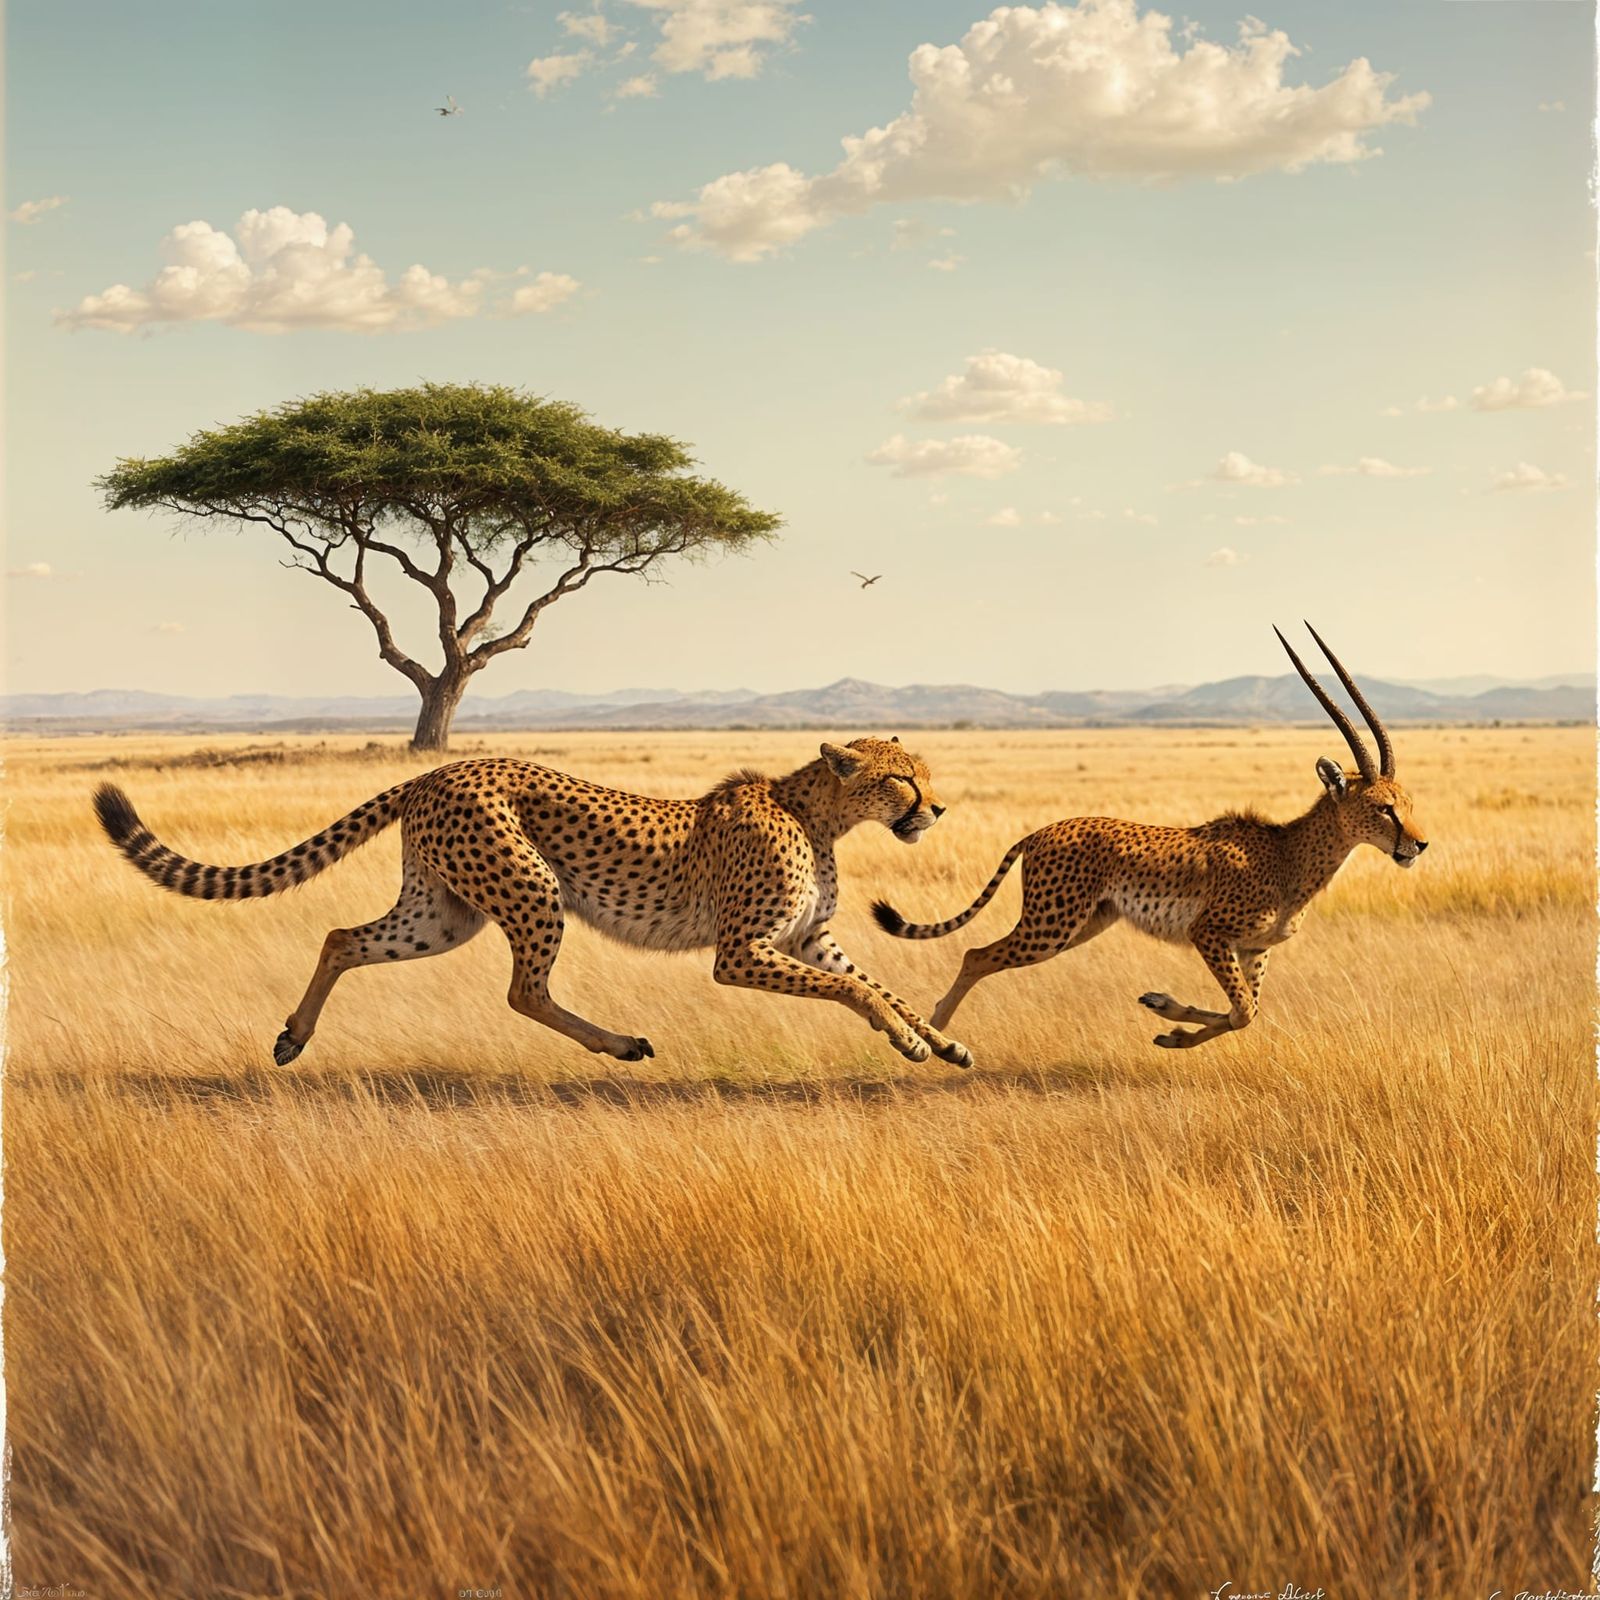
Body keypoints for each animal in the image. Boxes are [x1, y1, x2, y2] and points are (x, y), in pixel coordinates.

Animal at [872, 624, 1428, 1049]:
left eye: (1408, 804)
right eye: (1383, 809)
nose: (1419, 845)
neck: (1291, 854)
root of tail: (1045, 828)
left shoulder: (1254, 949)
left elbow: (1245, 1012)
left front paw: (1168, 1022)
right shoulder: (1209, 932)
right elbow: (1242, 1010)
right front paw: (1172, 1023)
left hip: (1086, 923)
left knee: (980, 954)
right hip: (1051, 926)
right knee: (976, 955)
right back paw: (938, 1031)